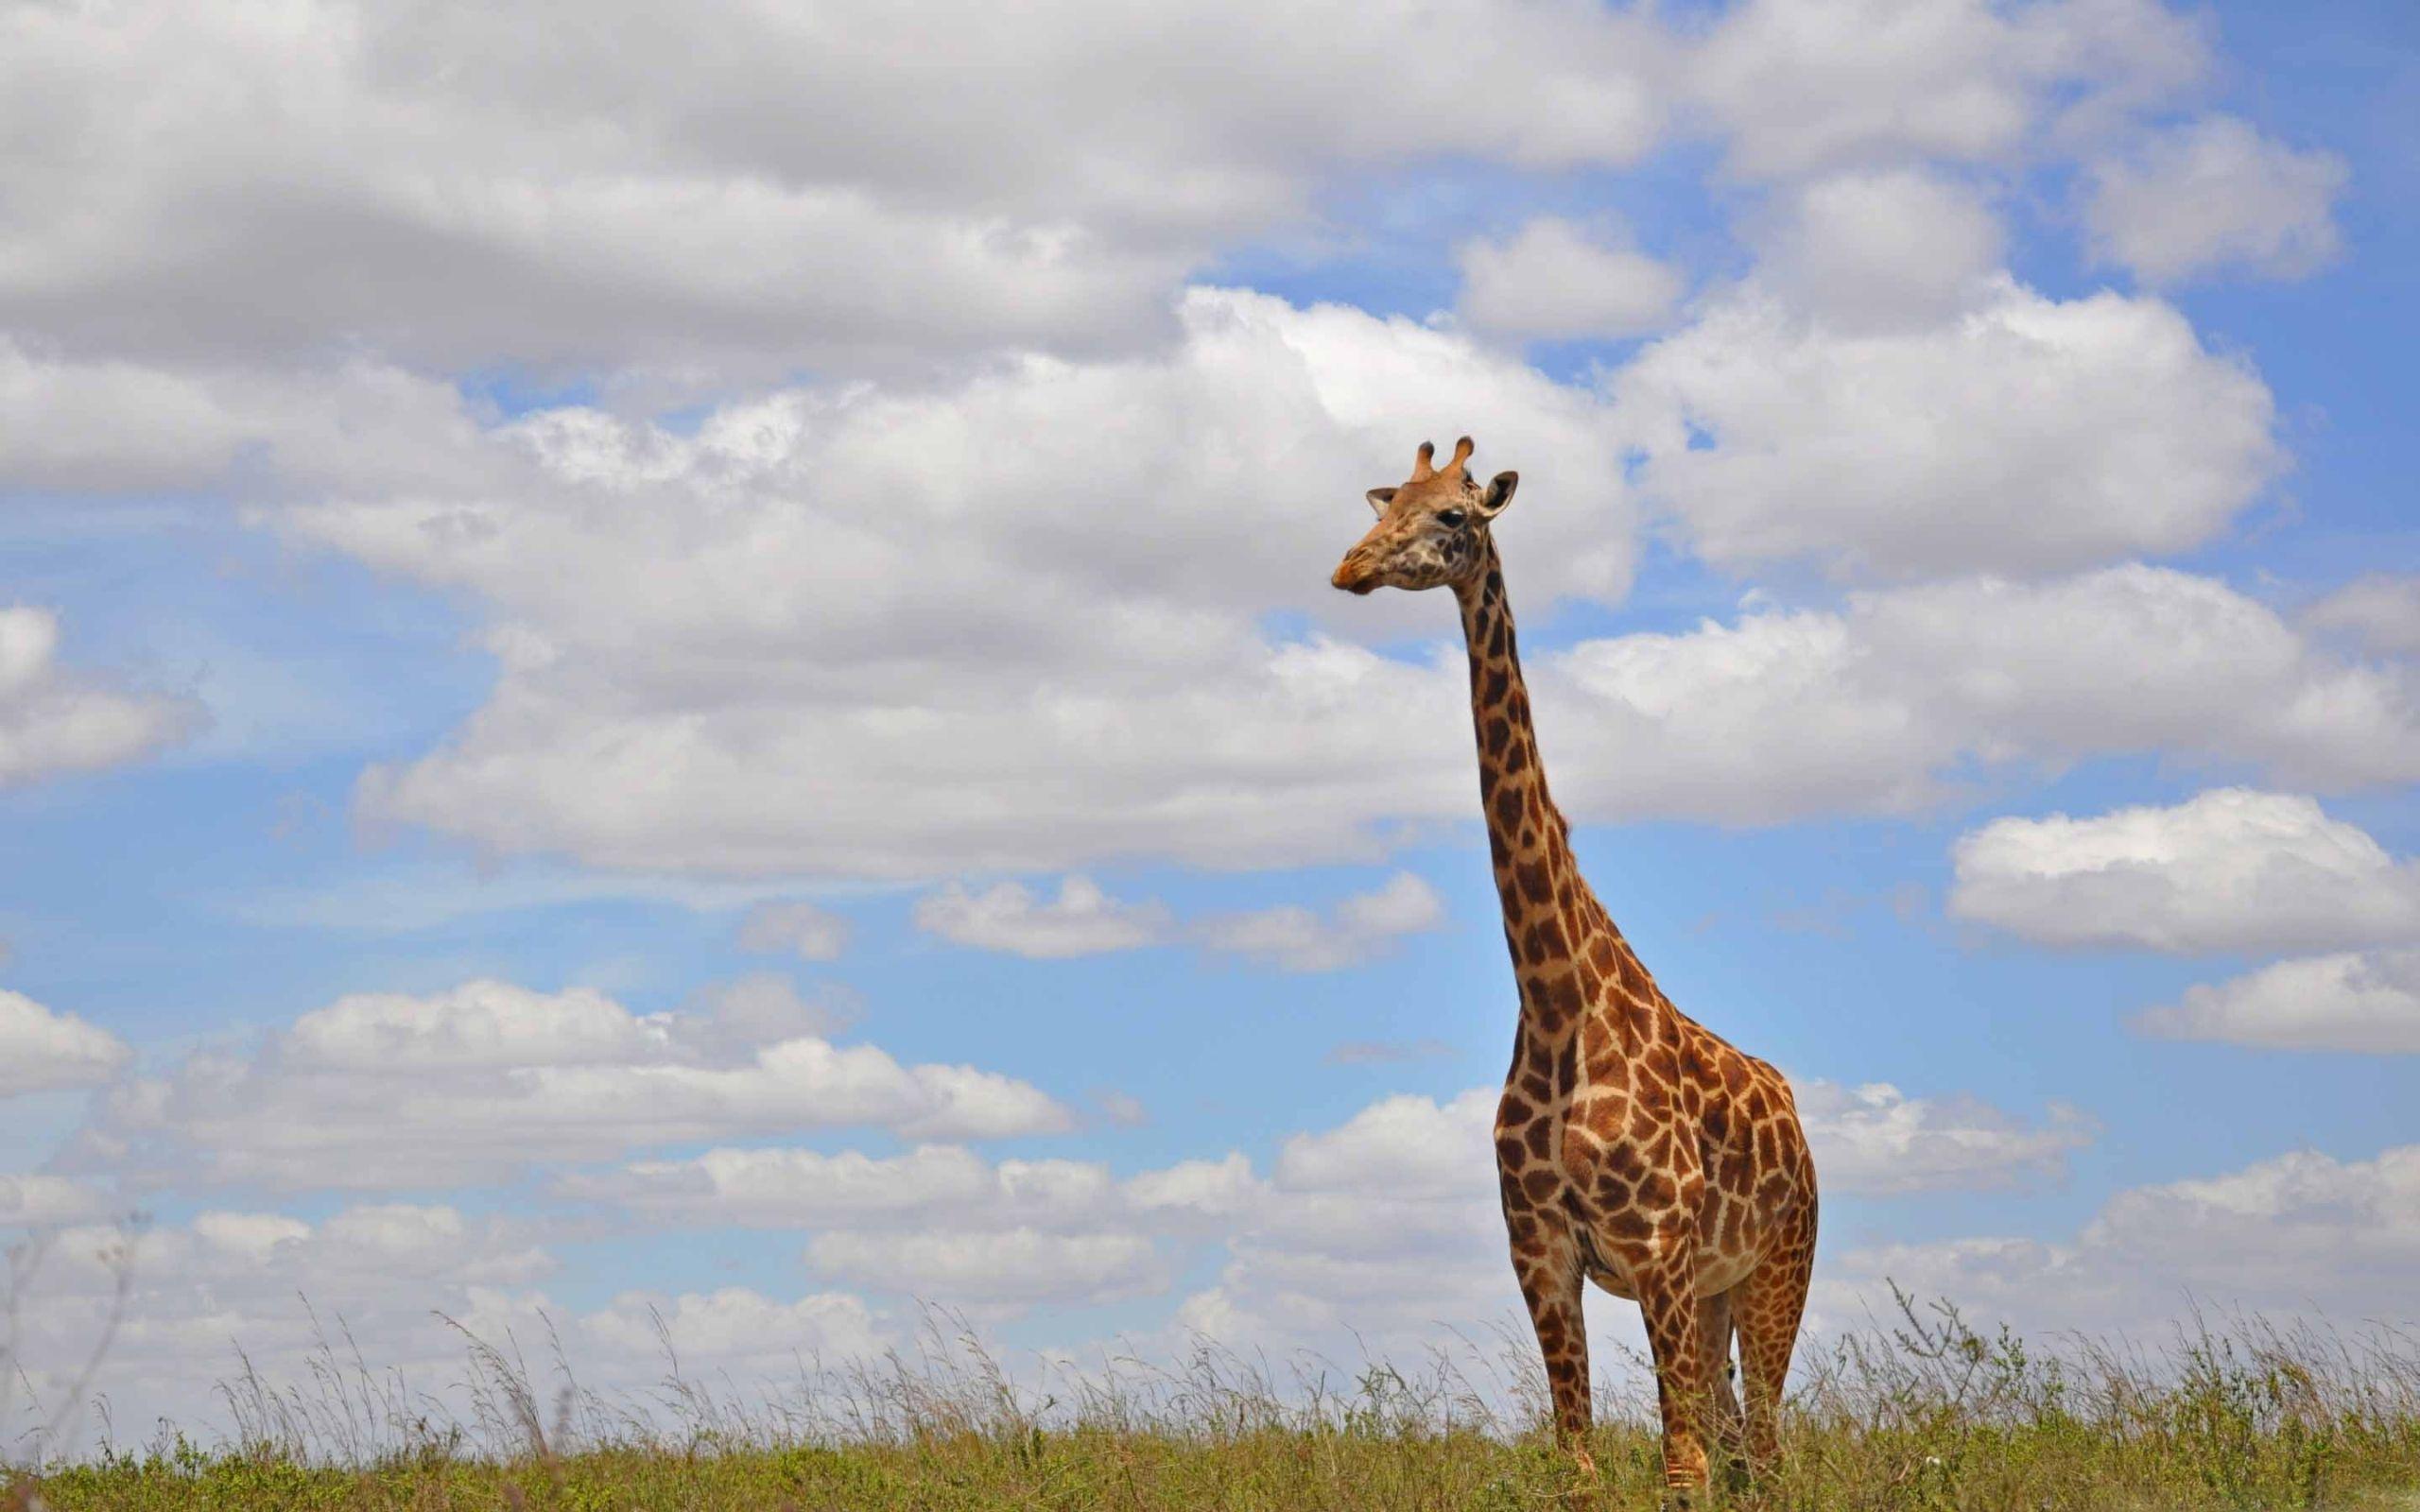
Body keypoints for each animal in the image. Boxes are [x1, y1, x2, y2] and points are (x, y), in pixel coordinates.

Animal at [1330, 437, 1819, 1498]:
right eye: (1391, 504)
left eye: (1455, 516)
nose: (1350, 566)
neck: (1557, 1004)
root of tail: (1796, 1121)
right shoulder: (1543, 1256)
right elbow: (1581, 1466)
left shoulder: (1656, 1251)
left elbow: (1681, 1471)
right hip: (1715, 1292)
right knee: (1739, 1444)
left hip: (1774, 1271)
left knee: (1764, 1452)